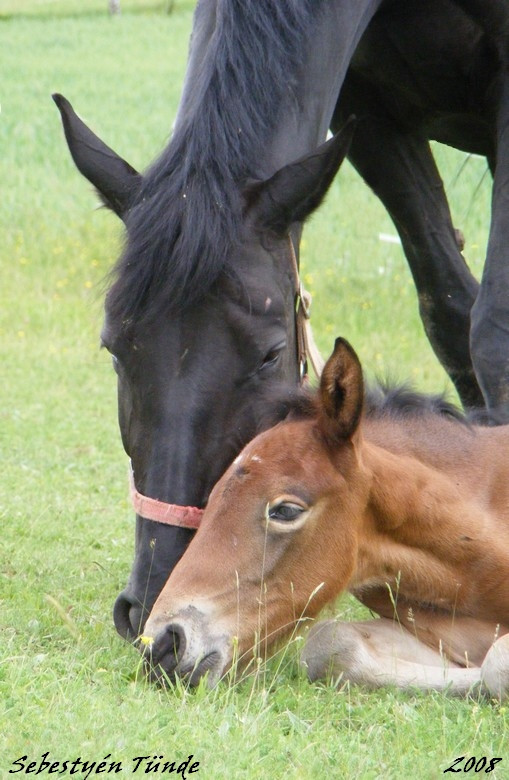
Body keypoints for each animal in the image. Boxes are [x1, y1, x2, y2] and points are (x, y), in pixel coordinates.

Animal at [53, 3, 508, 644]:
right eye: (114, 349)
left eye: (269, 354)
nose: (153, 601)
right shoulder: (371, 116)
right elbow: (448, 310)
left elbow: (491, 327)